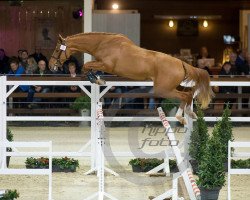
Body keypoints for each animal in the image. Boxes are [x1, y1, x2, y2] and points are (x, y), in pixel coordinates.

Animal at [48, 32, 213, 123]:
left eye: (56, 49)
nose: (50, 65)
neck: (102, 43)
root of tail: (181, 62)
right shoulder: (102, 64)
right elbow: (89, 67)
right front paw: (98, 78)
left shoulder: (107, 65)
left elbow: (86, 66)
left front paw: (96, 79)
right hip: (173, 87)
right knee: (189, 94)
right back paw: (189, 113)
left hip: (163, 89)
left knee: (185, 96)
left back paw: (182, 117)